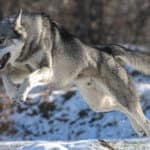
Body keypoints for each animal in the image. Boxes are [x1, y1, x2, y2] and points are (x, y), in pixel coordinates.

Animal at [0, 11, 150, 137]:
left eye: (1, 40)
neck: (30, 40)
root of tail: (106, 49)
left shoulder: (48, 71)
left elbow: (28, 79)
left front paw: (21, 94)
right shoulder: (23, 70)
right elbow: (5, 75)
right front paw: (13, 92)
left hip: (122, 99)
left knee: (143, 120)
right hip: (98, 105)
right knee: (122, 109)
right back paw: (137, 128)